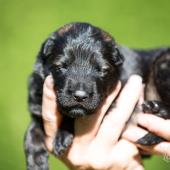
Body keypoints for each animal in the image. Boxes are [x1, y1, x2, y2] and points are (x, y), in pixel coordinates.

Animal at [24, 22, 170, 170]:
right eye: (62, 66)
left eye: (102, 70)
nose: (80, 96)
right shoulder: (37, 104)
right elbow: (31, 131)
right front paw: (36, 161)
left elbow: (71, 115)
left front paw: (63, 134)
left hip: (163, 63)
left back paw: (156, 108)